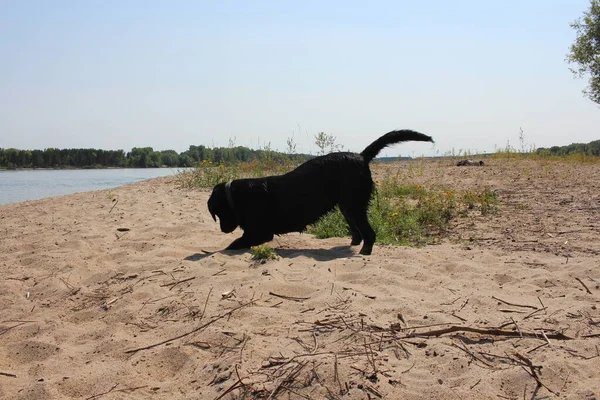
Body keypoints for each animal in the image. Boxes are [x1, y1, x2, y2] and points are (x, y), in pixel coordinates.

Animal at [209, 130, 434, 255]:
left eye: (218, 212)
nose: (222, 230)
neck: (236, 196)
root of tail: (361, 156)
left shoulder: (260, 232)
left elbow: (234, 244)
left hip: (354, 204)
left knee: (369, 233)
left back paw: (364, 252)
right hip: (346, 207)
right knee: (357, 231)